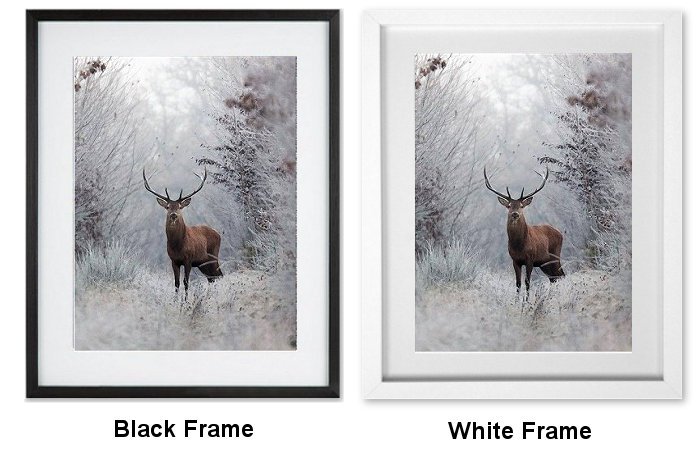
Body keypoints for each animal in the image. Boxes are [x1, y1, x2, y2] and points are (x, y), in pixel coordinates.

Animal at [143, 167, 223, 297]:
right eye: (168, 207)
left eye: (180, 206)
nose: (173, 215)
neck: (178, 246)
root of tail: (218, 234)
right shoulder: (174, 261)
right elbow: (176, 283)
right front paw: (175, 300)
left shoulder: (188, 259)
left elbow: (186, 282)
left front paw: (185, 301)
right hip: (203, 263)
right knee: (211, 278)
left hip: (213, 256)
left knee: (219, 275)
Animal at [483, 167, 565, 296]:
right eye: (509, 206)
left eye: (521, 206)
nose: (515, 214)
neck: (519, 245)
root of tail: (560, 233)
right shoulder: (515, 260)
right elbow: (518, 284)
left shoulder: (530, 259)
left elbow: (527, 283)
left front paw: (526, 300)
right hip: (544, 263)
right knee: (553, 278)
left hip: (555, 255)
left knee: (561, 275)